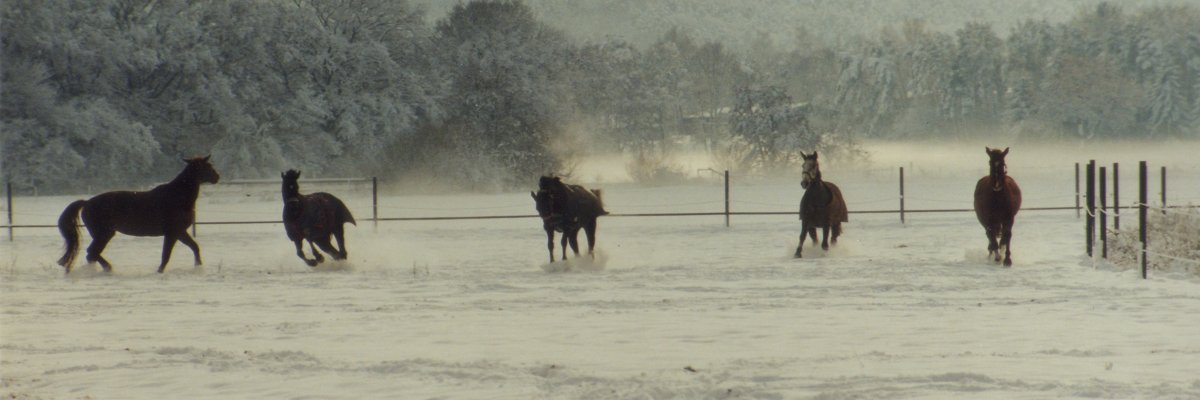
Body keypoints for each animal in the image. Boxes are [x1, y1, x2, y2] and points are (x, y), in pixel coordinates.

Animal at [57, 156, 220, 274]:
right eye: (207, 166)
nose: (217, 177)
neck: (177, 197)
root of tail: (87, 203)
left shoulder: (180, 232)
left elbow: (195, 247)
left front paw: (198, 267)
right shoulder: (172, 233)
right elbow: (166, 255)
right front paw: (159, 272)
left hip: (103, 234)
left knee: (92, 254)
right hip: (103, 234)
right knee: (92, 253)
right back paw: (107, 269)